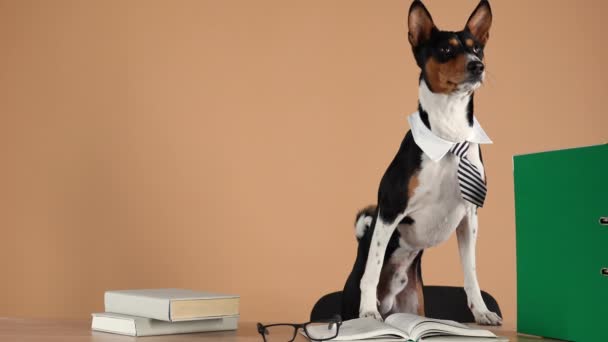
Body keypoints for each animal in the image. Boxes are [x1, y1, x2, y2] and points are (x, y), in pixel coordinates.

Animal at [340, 0, 502, 326]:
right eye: (445, 50)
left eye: (477, 49)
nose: (477, 66)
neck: (449, 135)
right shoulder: (390, 209)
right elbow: (373, 267)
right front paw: (368, 312)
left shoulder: (469, 217)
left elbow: (471, 273)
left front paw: (481, 312)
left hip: (414, 304)